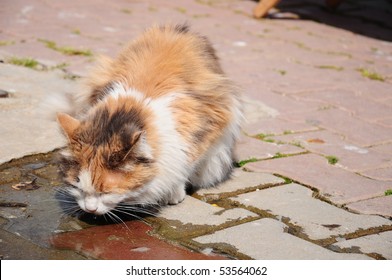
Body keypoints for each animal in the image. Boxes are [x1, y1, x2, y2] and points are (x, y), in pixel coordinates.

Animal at [57, 24, 243, 217]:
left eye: (106, 192)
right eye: (78, 187)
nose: (90, 209)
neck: (131, 107)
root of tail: (176, 28)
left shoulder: (203, 130)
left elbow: (185, 163)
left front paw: (174, 192)